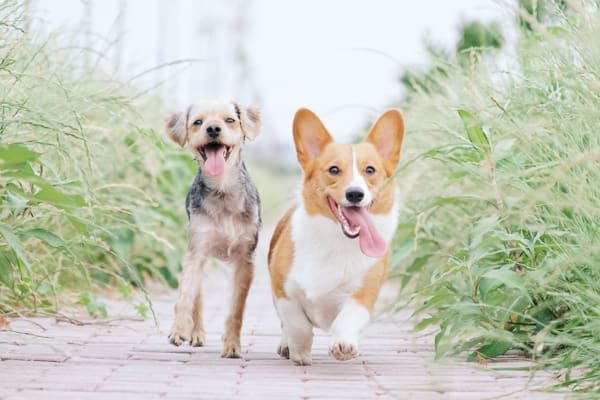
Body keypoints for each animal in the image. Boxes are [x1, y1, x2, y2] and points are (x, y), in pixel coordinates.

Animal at [164, 101, 260, 358]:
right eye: (198, 122)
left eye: (230, 120)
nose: (214, 128)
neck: (222, 189)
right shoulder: (197, 250)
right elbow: (186, 296)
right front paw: (179, 329)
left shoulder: (244, 260)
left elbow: (236, 309)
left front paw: (232, 345)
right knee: (197, 296)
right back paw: (196, 333)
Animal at [270, 108, 406, 364]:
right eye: (334, 169)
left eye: (370, 170)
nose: (355, 194)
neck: (337, 240)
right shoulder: (284, 291)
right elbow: (298, 325)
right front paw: (300, 351)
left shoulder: (363, 295)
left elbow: (348, 318)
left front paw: (344, 344)